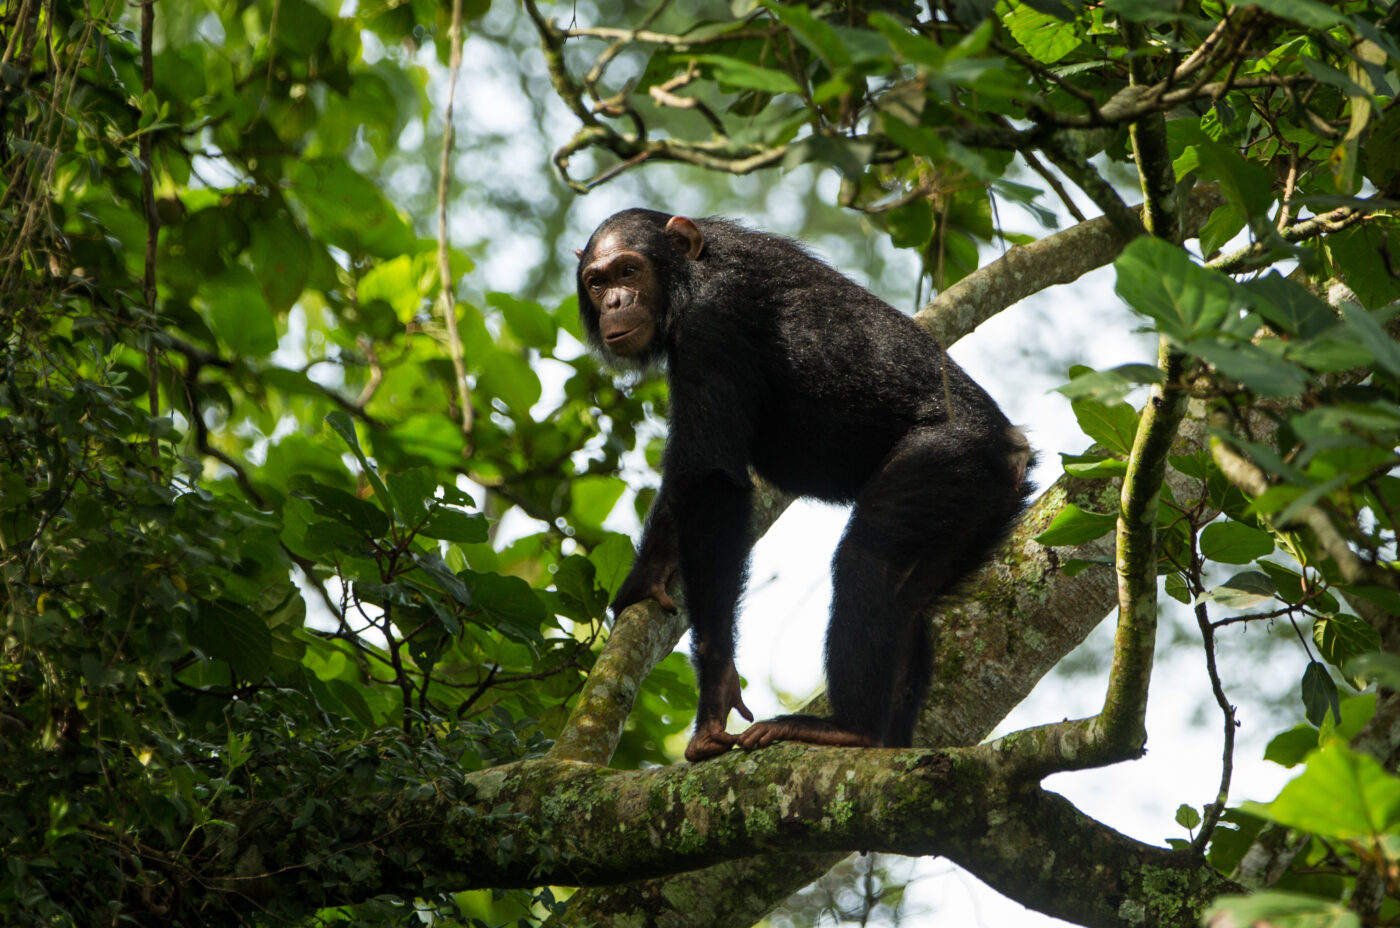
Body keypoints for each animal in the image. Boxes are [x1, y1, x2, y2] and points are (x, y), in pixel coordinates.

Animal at [576, 209, 1030, 761]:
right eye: (597, 282)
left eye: (628, 271)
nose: (615, 302)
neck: (688, 275)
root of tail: (1013, 448)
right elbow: (690, 473)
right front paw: (649, 572)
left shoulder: (711, 322)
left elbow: (712, 480)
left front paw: (717, 689)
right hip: (977, 514)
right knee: (910, 601)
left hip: (951, 460)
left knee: (867, 560)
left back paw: (849, 728)